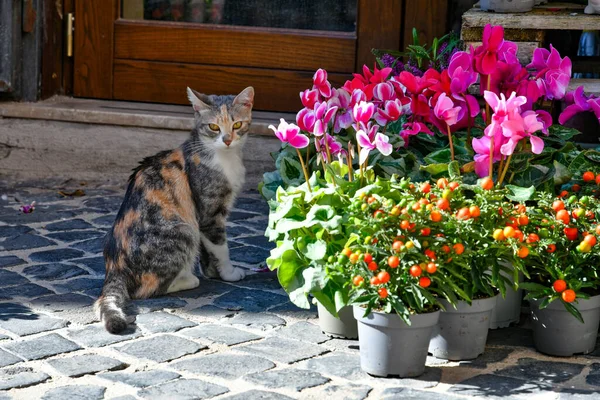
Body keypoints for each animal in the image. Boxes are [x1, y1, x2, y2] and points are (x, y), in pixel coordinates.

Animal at [94, 87, 253, 334]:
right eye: (213, 127)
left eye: (237, 125)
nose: (227, 139)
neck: (223, 158)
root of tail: (114, 268)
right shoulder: (210, 213)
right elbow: (220, 247)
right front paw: (228, 273)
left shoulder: (201, 219)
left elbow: (208, 251)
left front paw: (213, 272)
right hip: (182, 231)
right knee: (145, 290)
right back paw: (188, 279)